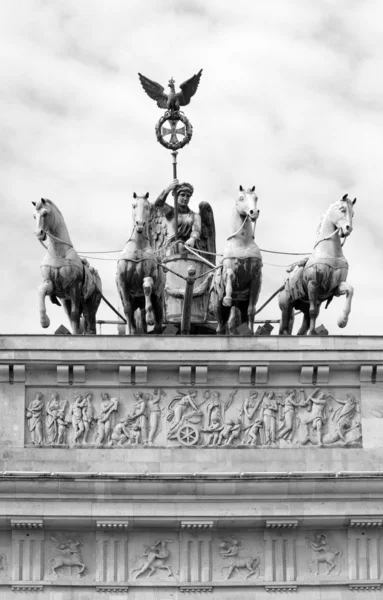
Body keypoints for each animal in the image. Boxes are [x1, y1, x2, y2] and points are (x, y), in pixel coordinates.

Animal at [33, 199, 102, 336]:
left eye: (45, 213)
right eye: (34, 216)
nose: (39, 234)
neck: (58, 253)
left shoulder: (75, 286)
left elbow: (75, 316)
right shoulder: (51, 284)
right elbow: (41, 291)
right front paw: (44, 321)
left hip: (91, 302)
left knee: (89, 320)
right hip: (66, 301)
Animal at [117, 192, 165, 332]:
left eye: (148, 207)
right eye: (134, 206)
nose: (139, 224)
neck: (137, 248)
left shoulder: (149, 274)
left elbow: (147, 285)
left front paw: (150, 318)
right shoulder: (122, 282)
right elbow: (127, 310)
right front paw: (131, 330)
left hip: (158, 299)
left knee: (158, 323)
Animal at [212, 186, 262, 336]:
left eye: (256, 198)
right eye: (241, 198)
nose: (254, 212)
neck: (242, 243)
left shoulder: (255, 279)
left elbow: (251, 312)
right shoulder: (229, 270)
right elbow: (229, 276)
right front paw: (228, 298)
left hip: (240, 305)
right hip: (217, 306)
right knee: (221, 326)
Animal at [280, 195, 356, 336]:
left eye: (353, 214)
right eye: (342, 209)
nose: (348, 229)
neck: (329, 252)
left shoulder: (334, 287)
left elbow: (350, 289)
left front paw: (342, 321)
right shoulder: (313, 284)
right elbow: (313, 311)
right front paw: (313, 333)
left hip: (304, 305)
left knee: (302, 327)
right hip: (286, 305)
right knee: (284, 325)